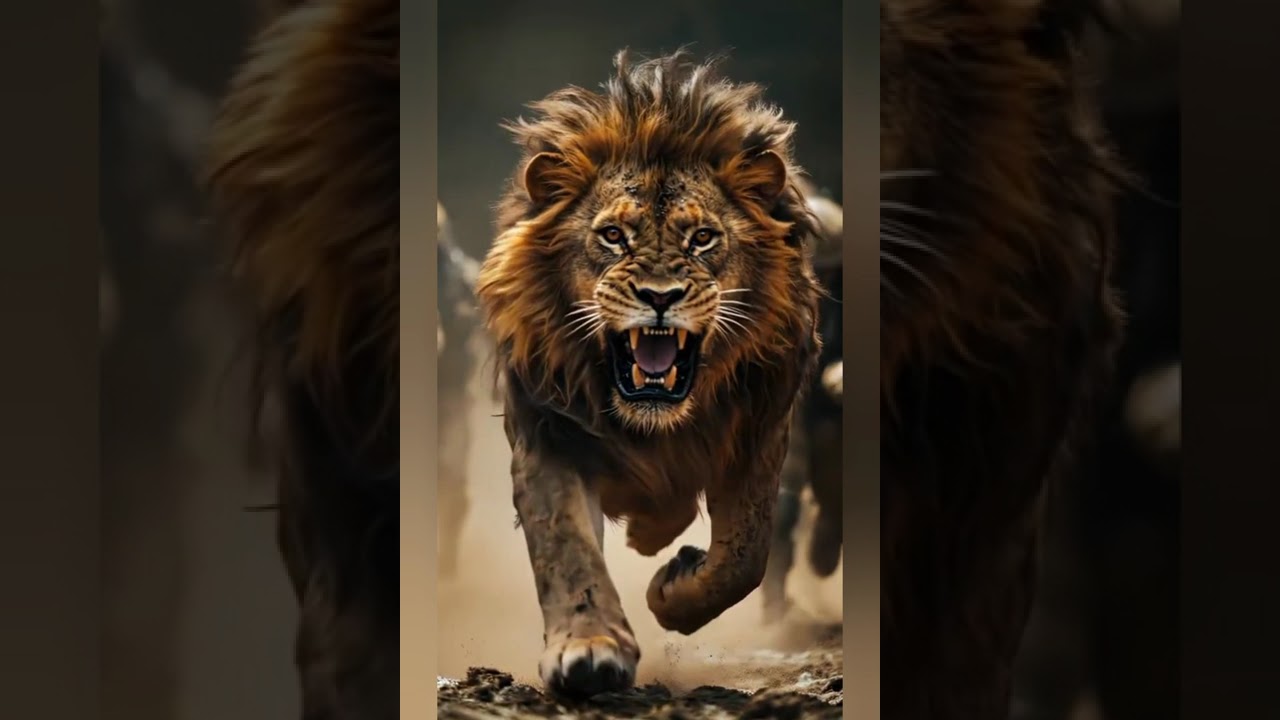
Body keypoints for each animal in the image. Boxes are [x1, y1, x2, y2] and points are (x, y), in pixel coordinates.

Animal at [474, 50, 823, 697]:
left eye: (703, 237)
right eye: (613, 236)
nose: (659, 297)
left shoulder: (759, 432)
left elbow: (744, 556)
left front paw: (673, 590)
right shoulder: (550, 434)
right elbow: (567, 550)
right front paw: (588, 649)